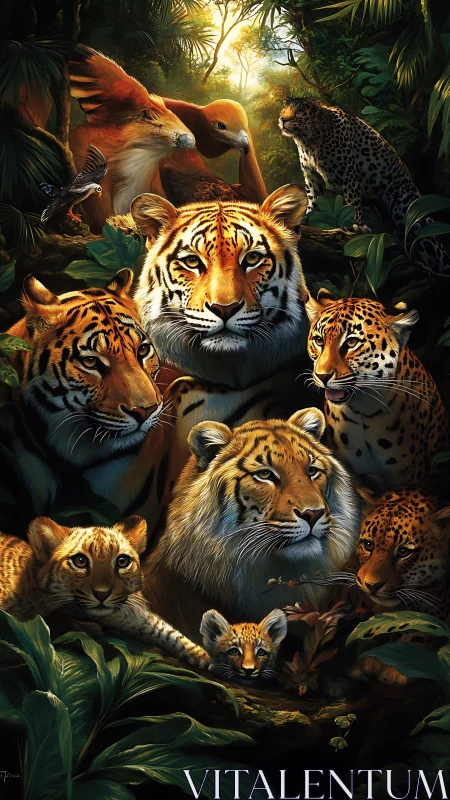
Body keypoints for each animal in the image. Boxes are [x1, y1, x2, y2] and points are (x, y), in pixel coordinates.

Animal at [279, 96, 450, 275]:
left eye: (299, 112)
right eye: (284, 110)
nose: (283, 119)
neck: (308, 141)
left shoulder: (348, 170)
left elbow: (352, 200)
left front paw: (357, 225)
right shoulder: (311, 174)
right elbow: (312, 196)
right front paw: (308, 215)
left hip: (409, 211)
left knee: (434, 248)